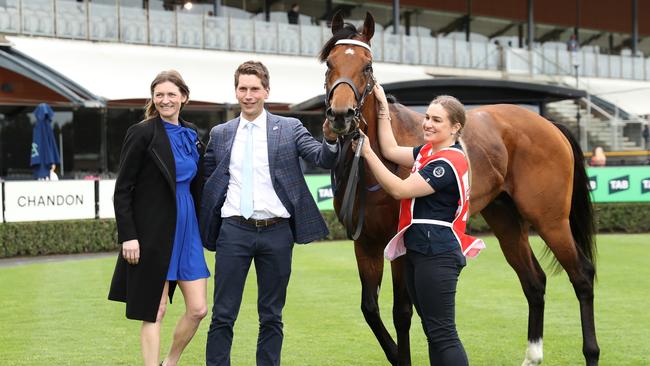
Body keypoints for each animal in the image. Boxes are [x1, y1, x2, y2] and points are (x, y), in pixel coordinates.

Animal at [318, 11, 596, 366]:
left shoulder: (399, 243)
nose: (340, 116)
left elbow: (401, 313)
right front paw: (395, 353)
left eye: (367, 66)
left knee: (582, 276)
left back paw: (591, 352)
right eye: (330, 63)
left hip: (550, 220)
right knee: (534, 282)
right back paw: (532, 355)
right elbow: (370, 309)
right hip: (506, 220)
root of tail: (549, 125)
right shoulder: (365, 243)